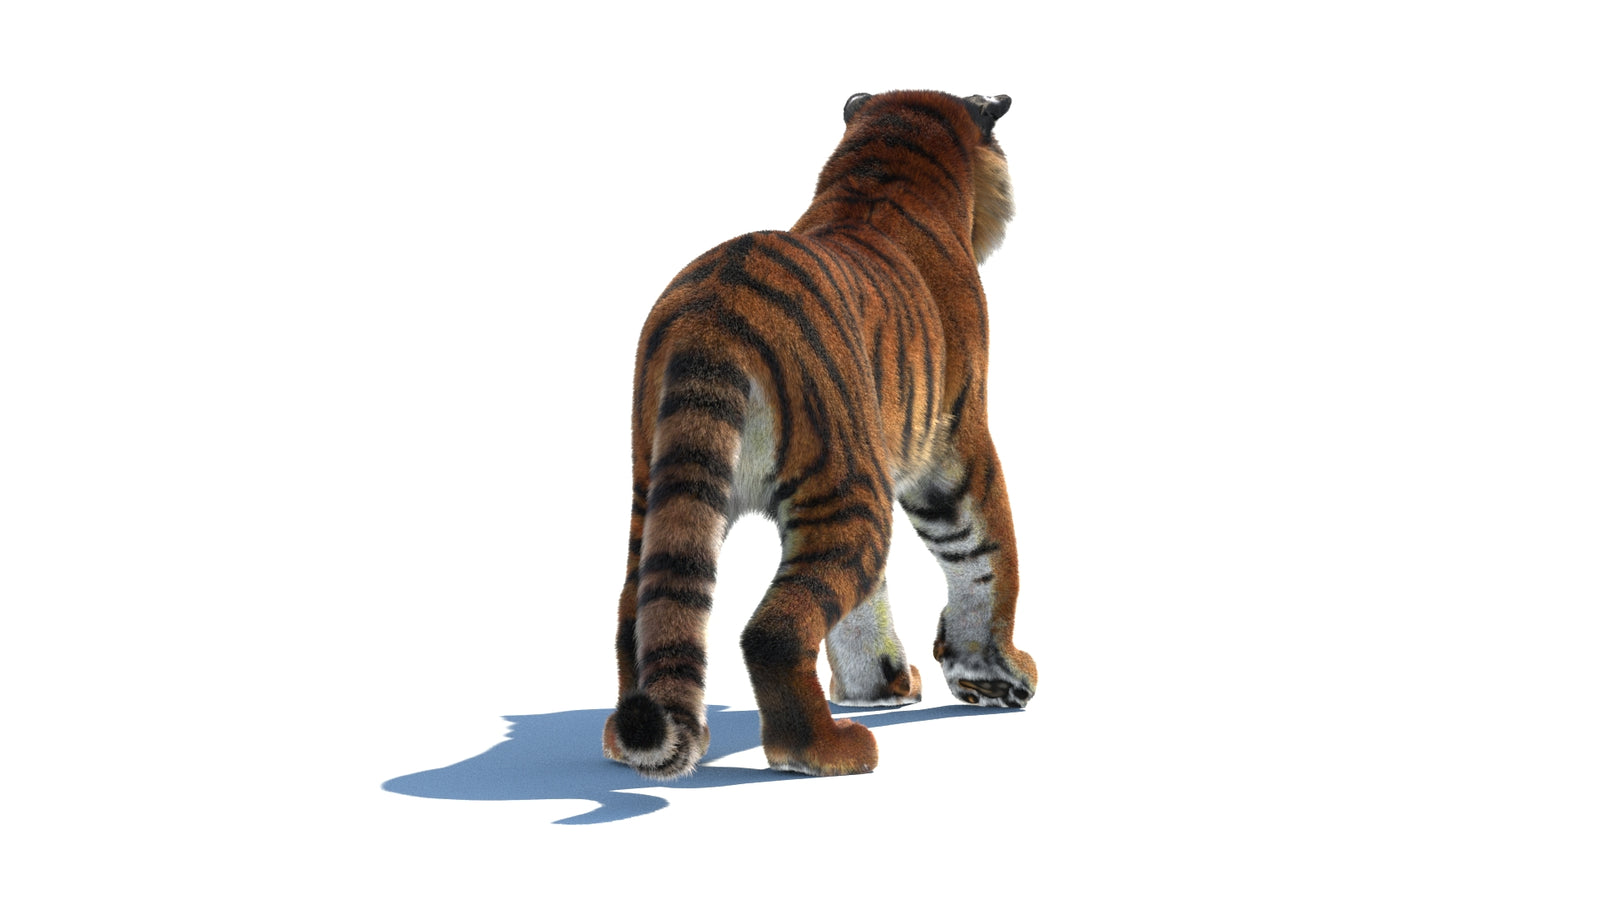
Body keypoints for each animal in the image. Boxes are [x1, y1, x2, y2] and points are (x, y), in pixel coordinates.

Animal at [601, 89, 1036, 779]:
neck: (885, 167)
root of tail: (715, 307)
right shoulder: (956, 442)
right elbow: (987, 556)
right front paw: (997, 677)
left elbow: (868, 601)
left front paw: (879, 684)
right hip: (849, 489)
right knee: (772, 631)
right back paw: (826, 750)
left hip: (661, 484)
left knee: (634, 611)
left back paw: (631, 741)